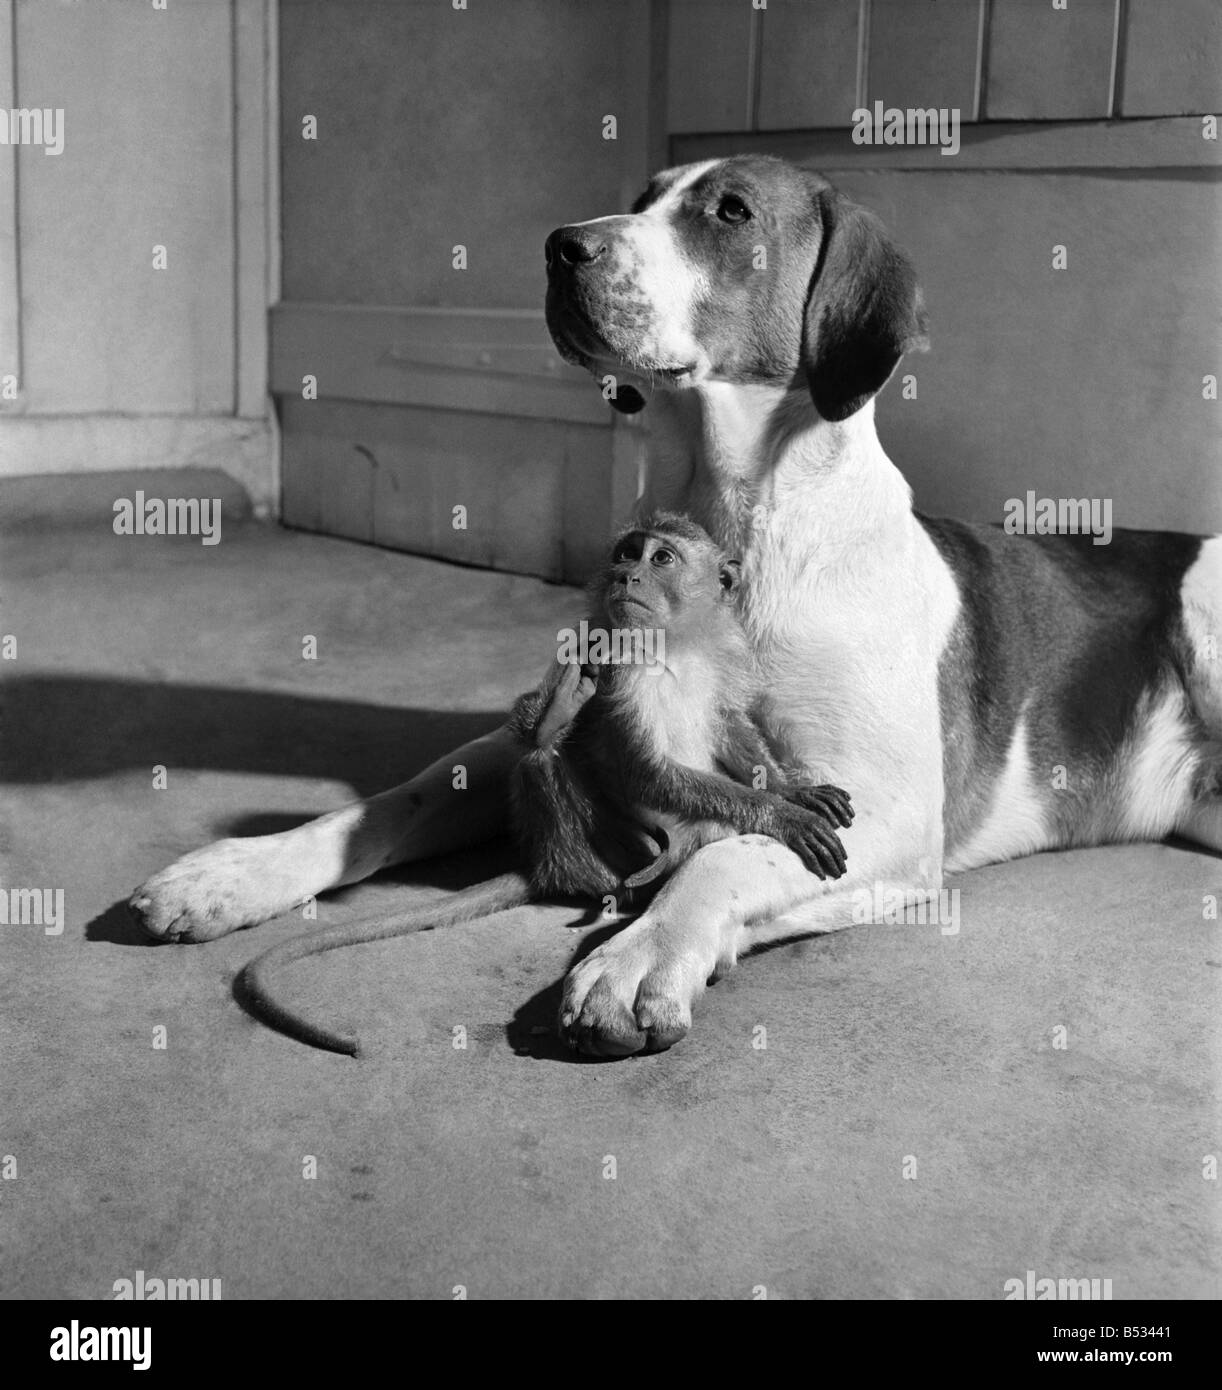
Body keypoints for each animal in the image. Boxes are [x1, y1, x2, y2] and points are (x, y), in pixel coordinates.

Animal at [243, 511, 856, 1050]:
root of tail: (547, 864)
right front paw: (785, 814)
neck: (672, 645)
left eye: (660, 558)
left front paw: (790, 792)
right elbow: (645, 770)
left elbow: (730, 727)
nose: (626, 576)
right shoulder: (617, 668)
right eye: (627, 553)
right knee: (542, 760)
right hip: (596, 849)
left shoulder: (722, 658)